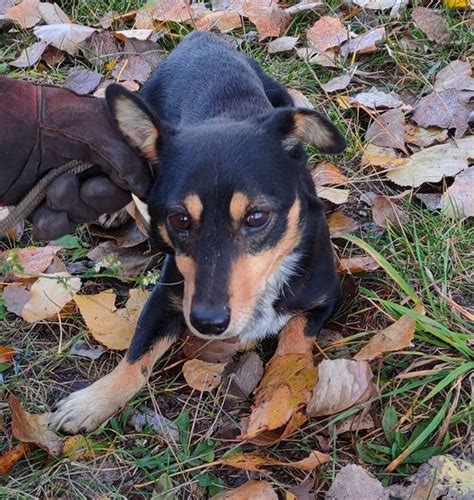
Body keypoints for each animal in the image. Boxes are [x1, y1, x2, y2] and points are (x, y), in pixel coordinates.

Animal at [51, 31, 346, 432]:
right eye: (179, 220)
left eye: (257, 217)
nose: (207, 322)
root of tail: (199, 37)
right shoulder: (165, 298)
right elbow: (136, 356)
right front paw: (92, 401)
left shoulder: (323, 297)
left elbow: (293, 346)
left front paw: (278, 393)